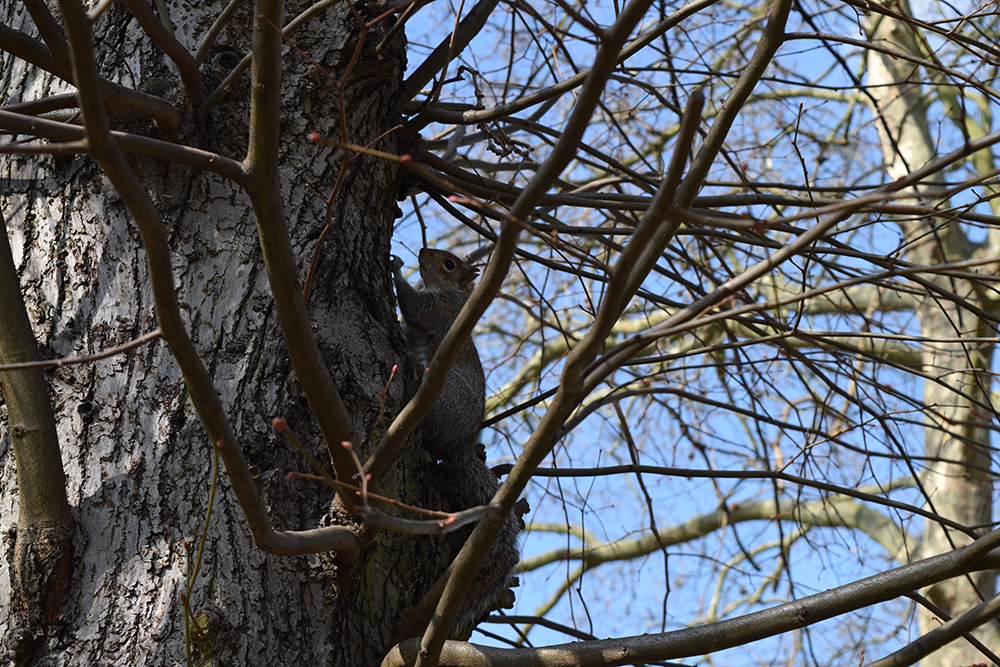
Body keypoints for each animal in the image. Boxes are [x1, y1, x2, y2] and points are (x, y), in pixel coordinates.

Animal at [390, 249, 532, 640]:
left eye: (449, 263)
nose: (422, 252)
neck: (452, 293)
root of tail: (463, 443)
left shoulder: (440, 310)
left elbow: (414, 306)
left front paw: (396, 270)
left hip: (444, 395)